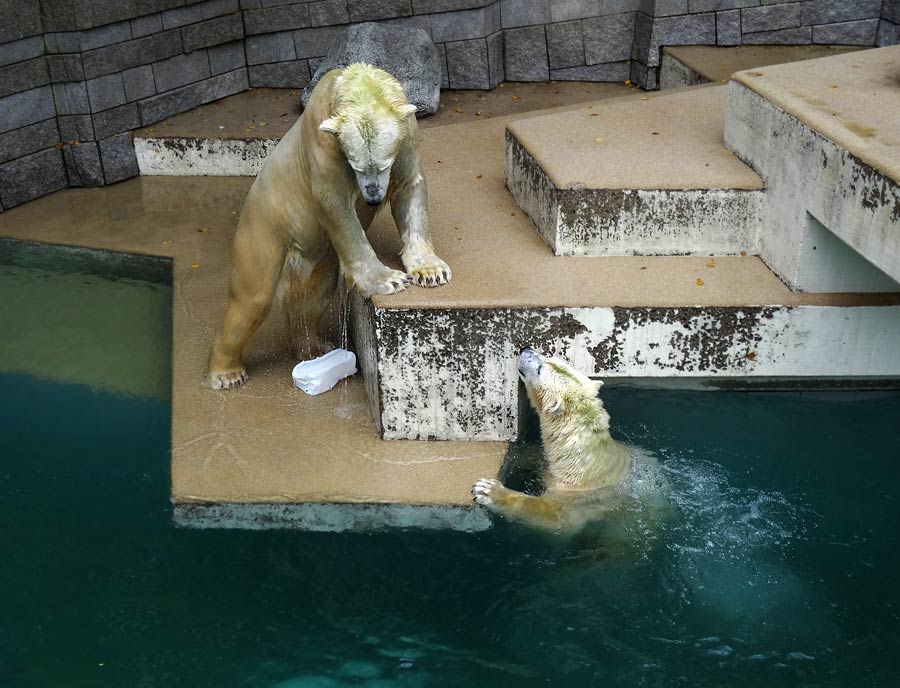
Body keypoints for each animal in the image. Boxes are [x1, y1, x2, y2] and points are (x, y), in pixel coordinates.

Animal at [209, 62, 450, 390]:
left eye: (384, 164)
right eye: (357, 166)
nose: (373, 197)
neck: (352, 83)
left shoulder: (408, 131)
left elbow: (408, 185)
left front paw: (431, 271)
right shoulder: (322, 142)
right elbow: (335, 205)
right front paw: (390, 280)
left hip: (313, 253)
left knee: (314, 291)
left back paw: (314, 347)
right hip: (264, 226)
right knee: (252, 298)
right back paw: (227, 373)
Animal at [474, 346, 664, 536]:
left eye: (540, 369)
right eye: (549, 357)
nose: (525, 349)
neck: (577, 452)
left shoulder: (576, 490)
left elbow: (557, 517)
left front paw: (489, 490)